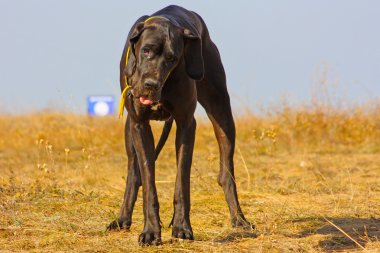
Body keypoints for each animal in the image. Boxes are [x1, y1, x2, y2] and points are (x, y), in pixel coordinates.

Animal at [107, 4, 254, 245]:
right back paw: (122, 219)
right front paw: (151, 231)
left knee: (226, 173)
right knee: (133, 172)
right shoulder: (139, 124)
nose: (151, 84)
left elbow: (182, 180)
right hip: (129, 129)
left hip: (221, 110)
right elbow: (147, 179)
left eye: (172, 58)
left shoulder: (186, 123)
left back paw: (239, 219)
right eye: (146, 50)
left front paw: (182, 227)